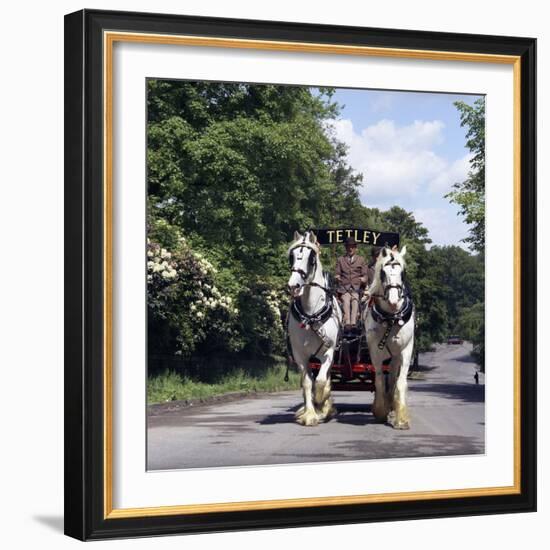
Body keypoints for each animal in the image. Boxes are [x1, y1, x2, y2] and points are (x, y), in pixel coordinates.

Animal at [286, 231, 342, 430]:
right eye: (292, 256)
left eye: (311, 258)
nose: (293, 286)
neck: (311, 315)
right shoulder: (300, 355)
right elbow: (307, 383)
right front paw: (310, 415)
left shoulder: (328, 351)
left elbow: (320, 381)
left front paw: (321, 404)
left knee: (326, 378)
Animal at [364, 246, 416, 432]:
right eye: (383, 273)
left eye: (403, 272)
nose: (394, 301)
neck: (392, 318)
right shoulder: (375, 352)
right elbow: (379, 380)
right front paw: (380, 410)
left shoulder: (406, 350)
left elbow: (400, 382)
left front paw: (401, 418)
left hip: (394, 355)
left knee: (393, 376)